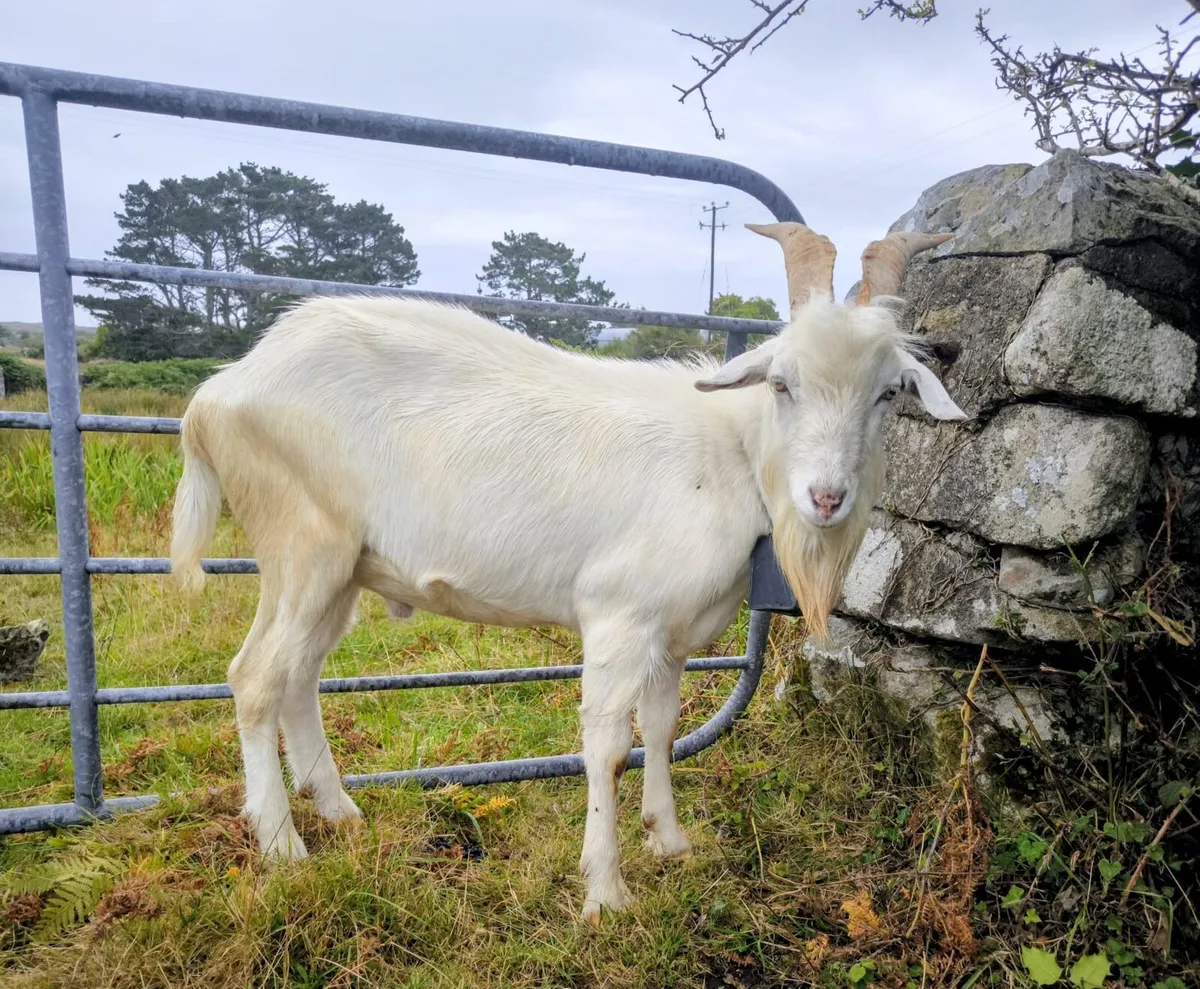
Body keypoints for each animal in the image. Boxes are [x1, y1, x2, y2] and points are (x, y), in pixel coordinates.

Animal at [169, 221, 964, 923]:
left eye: (889, 392)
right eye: (781, 384)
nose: (826, 498)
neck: (726, 453)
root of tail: (218, 391)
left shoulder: (674, 632)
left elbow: (662, 727)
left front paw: (670, 840)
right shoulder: (618, 615)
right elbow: (608, 748)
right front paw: (605, 892)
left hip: (339, 572)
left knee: (299, 677)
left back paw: (339, 811)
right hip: (303, 543)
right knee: (256, 677)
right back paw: (283, 846)